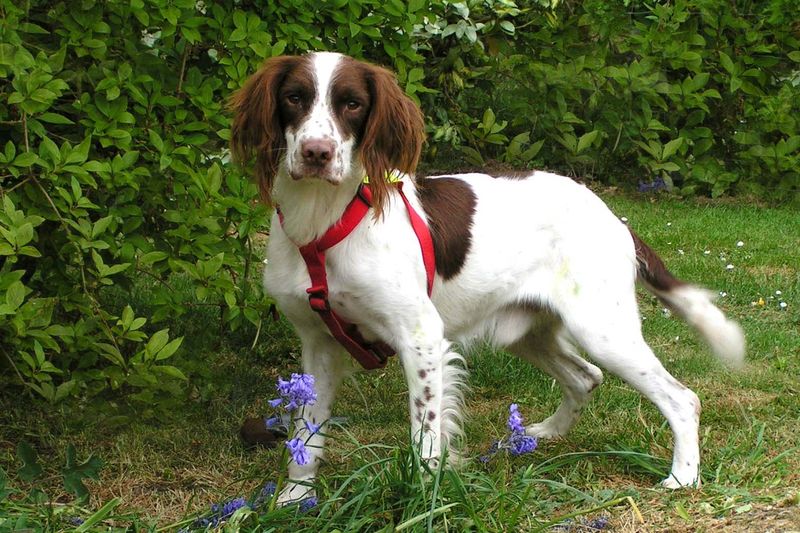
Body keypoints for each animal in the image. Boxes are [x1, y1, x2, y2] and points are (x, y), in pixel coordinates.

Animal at [230, 51, 744, 502]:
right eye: (294, 97)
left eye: (352, 103)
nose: (317, 153)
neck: (323, 222)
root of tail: (613, 217)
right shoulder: (318, 344)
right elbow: (305, 438)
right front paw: (295, 499)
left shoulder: (421, 335)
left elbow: (425, 438)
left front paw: (425, 501)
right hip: (525, 332)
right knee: (586, 377)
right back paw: (540, 436)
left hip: (602, 329)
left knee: (682, 398)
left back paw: (683, 477)